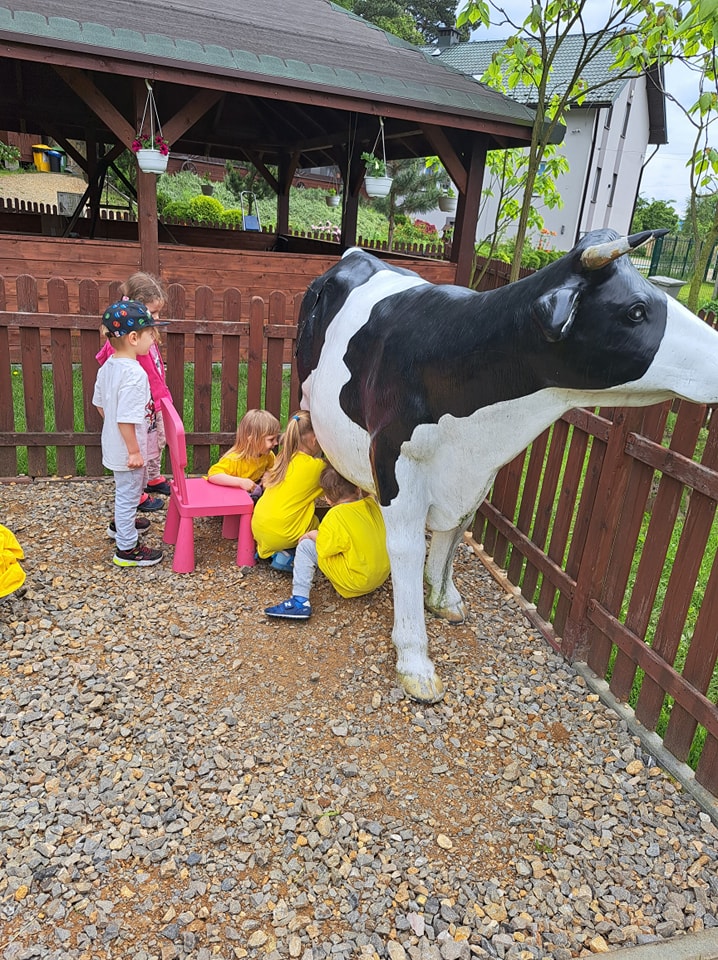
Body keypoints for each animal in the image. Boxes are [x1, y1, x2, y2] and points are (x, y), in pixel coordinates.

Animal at [296, 228, 718, 703]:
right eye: (637, 310)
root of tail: (355, 254)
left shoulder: (478, 470)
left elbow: (457, 530)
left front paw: (443, 599)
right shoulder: (394, 459)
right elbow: (407, 549)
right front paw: (415, 662)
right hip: (309, 398)